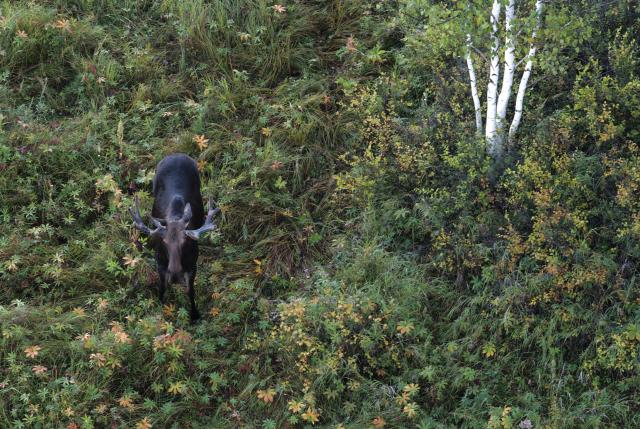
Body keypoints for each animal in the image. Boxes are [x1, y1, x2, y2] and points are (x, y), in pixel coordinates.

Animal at [129, 153, 219, 323]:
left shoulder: (192, 265)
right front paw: (159, 309)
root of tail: (177, 154)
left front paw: (194, 315)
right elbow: (162, 288)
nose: (176, 275)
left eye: (185, 243)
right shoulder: (160, 262)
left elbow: (191, 291)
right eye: (164, 242)